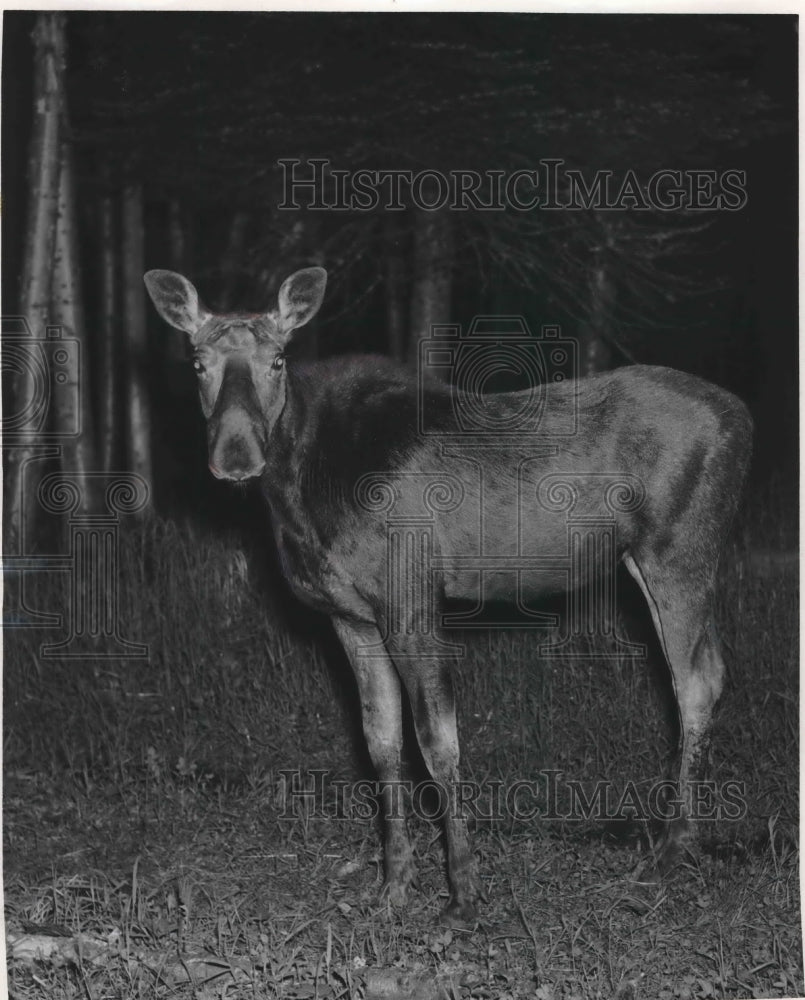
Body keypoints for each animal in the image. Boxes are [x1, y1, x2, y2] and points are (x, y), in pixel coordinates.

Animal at [144, 265, 752, 925]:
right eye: (197, 361)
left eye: (278, 358)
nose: (236, 456)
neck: (299, 495)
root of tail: (743, 417)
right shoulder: (351, 616)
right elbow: (380, 743)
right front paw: (394, 885)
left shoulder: (411, 594)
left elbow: (437, 743)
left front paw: (463, 894)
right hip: (644, 558)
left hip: (680, 548)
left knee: (697, 681)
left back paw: (671, 850)